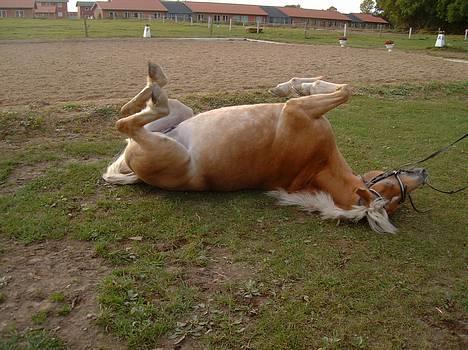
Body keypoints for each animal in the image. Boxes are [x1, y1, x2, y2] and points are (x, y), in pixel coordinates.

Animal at [103, 63, 428, 232]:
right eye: (395, 189)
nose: (425, 174)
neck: (317, 165)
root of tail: (136, 173)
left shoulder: (296, 109)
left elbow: (344, 91)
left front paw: (298, 86)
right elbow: (342, 88)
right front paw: (297, 84)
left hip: (162, 143)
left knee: (127, 122)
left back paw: (156, 83)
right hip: (182, 114)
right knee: (130, 113)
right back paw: (152, 86)